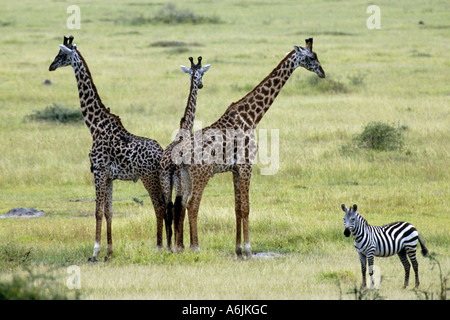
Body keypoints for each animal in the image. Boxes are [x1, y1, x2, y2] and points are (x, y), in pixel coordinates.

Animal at [48, 35, 167, 260]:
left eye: (61, 54)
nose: (51, 66)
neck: (95, 125)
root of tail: (163, 154)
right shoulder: (110, 176)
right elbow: (109, 211)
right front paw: (109, 252)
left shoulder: (99, 171)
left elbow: (97, 211)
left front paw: (94, 252)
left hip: (148, 177)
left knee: (159, 205)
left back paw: (160, 247)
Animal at [160, 57, 211, 252]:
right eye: (201, 74)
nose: (201, 85)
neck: (185, 126)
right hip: (177, 180)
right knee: (177, 206)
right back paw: (177, 245)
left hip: (165, 180)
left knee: (167, 207)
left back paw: (168, 246)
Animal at [172, 38, 324, 258]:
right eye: (311, 57)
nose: (322, 72)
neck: (251, 117)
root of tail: (180, 152)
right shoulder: (246, 165)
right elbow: (246, 208)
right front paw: (249, 249)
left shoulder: (235, 169)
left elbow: (237, 208)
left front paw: (238, 249)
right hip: (202, 174)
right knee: (192, 205)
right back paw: (195, 247)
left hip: (184, 175)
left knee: (181, 205)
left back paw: (179, 248)